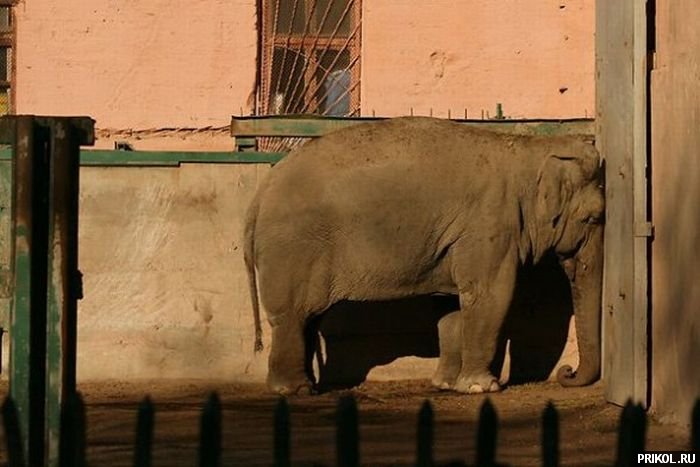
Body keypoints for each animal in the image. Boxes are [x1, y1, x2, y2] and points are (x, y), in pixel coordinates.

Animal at [244, 116, 604, 395]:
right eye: (594, 218)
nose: (567, 372)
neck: (530, 150)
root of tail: (260, 194)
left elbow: (451, 304)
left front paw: (446, 385)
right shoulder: (490, 226)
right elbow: (490, 295)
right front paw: (481, 387)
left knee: (309, 317)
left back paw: (307, 386)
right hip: (293, 249)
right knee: (293, 315)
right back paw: (295, 390)